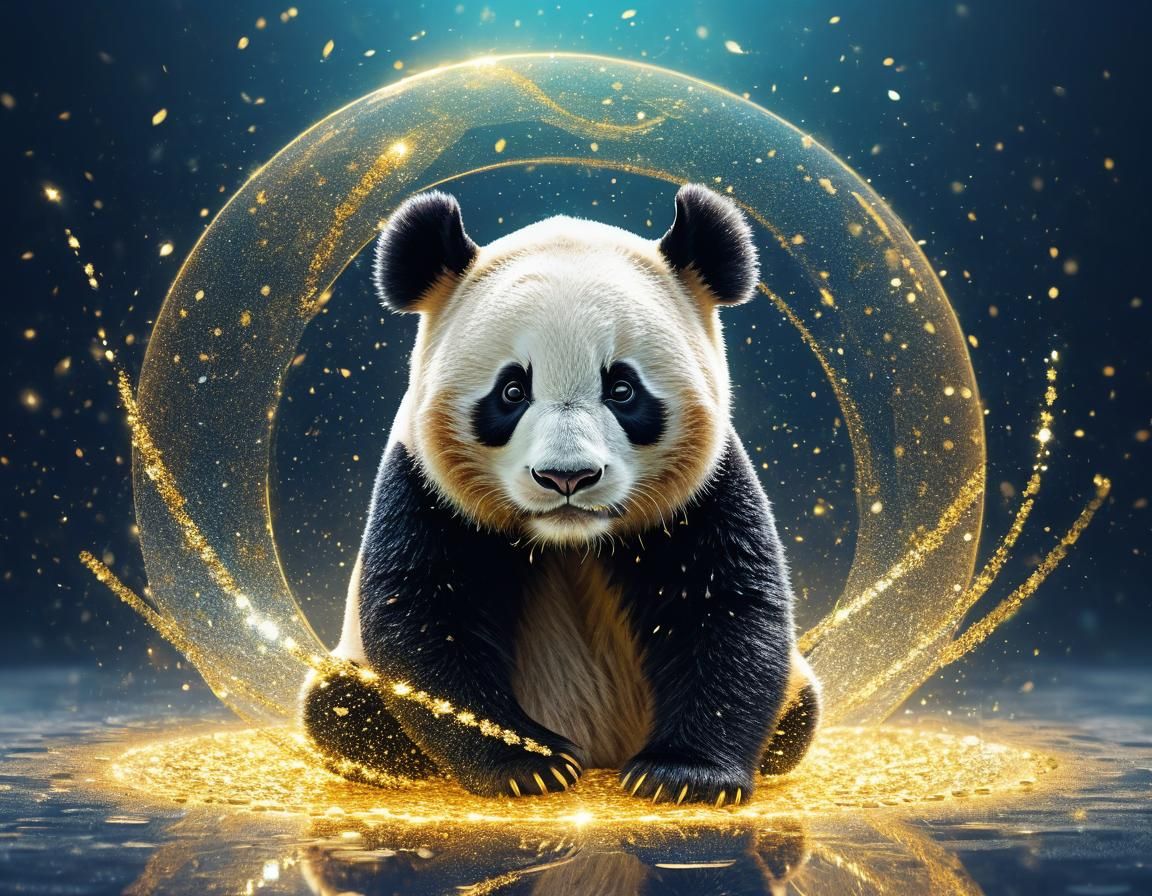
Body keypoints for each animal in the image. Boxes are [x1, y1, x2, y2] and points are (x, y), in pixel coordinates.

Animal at [301, 183, 820, 805]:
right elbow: (423, 611)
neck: (570, 540)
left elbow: (727, 605)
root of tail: (604, 750)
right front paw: (531, 763)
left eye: (622, 388)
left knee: (799, 714)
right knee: (339, 707)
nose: (567, 477)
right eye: (511, 390)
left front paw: (685, 777)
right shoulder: (423, 483)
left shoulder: (707, 489)